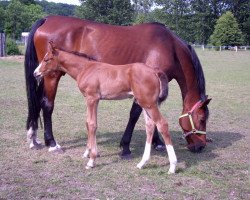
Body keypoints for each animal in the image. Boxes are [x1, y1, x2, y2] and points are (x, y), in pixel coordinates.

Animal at [24, 15, 210, 155]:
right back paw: (52, 143)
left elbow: (151, 113)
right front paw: (126, 146)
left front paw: (157, 142)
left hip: (43, 76)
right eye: (202, 119)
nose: (200, 146)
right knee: (47, 105)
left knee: (37, 104)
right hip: (51, 76)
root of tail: (47, 19)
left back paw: (33, 138)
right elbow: (135, 114)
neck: (169, 47)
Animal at [33, 42, 178, 173]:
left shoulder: (92, 98)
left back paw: (172, 166)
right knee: (150, 126)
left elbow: (92, 124)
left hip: (149, 104)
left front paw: (91, 160)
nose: (35, 73)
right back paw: (142, 163)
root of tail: (154, 71)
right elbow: (88, 123)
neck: (85, 68)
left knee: (162, 124)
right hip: (144, 104)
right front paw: (87, 152)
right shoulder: (92, 100)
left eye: (47, 59)